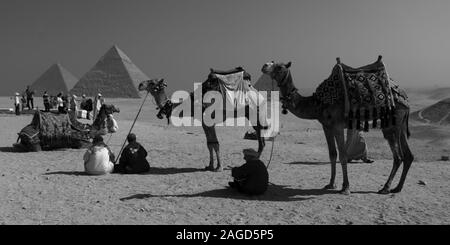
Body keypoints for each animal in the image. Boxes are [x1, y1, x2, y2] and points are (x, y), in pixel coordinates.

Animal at [135, 67, 266, 171]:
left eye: (152, 82)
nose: (140, 85)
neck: (192, 104)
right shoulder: (204, 123)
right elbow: (209, 144)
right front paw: (210, 165)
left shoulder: (209, 122)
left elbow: (215, 144)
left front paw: (219, 167)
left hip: (255, 114)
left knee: (261, 141)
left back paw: (256, 160)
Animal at [262, 56, 414, 194]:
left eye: (279, 67)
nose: (264, 65)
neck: (317, 103)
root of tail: (404, 96)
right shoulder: (326, 126)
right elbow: (332, 154)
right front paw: (330, 184)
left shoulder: (337, 126)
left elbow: (343, 155)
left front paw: (345, 187)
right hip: (400, 124)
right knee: (408, 155)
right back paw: (397, 188)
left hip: (392, 123)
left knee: (398, 156)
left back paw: (385, 188)